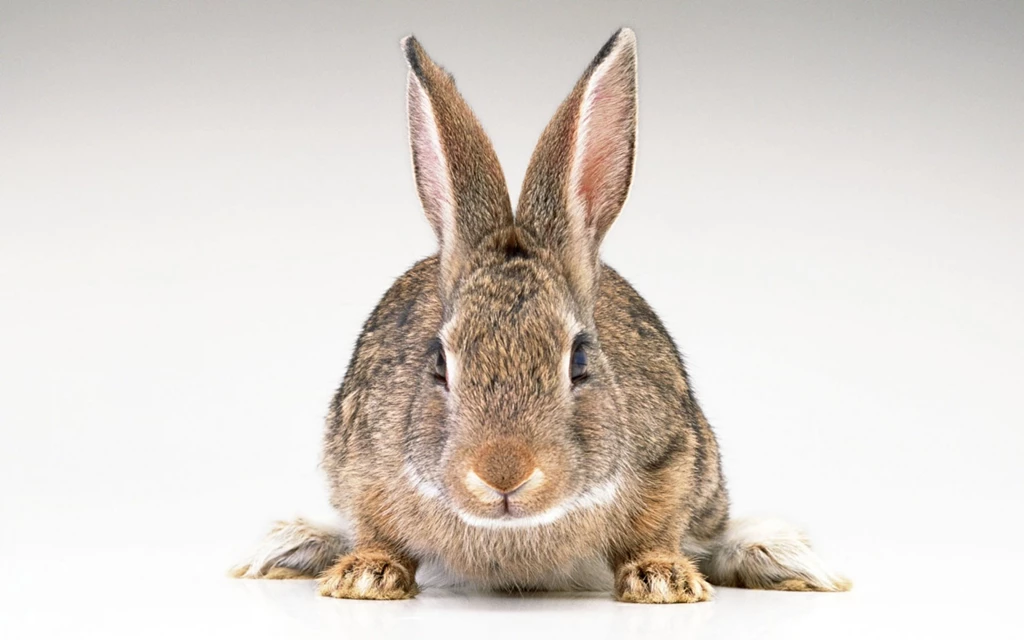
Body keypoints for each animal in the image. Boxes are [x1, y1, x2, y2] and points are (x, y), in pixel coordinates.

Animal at [232, 27, 850, 603]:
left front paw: (662, 581)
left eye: (578, 360)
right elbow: (376, 528)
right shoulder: (362, 463)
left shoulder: (674, 459)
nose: (504, 473)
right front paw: (366, 577)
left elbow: (657, 530)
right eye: (439, 363)